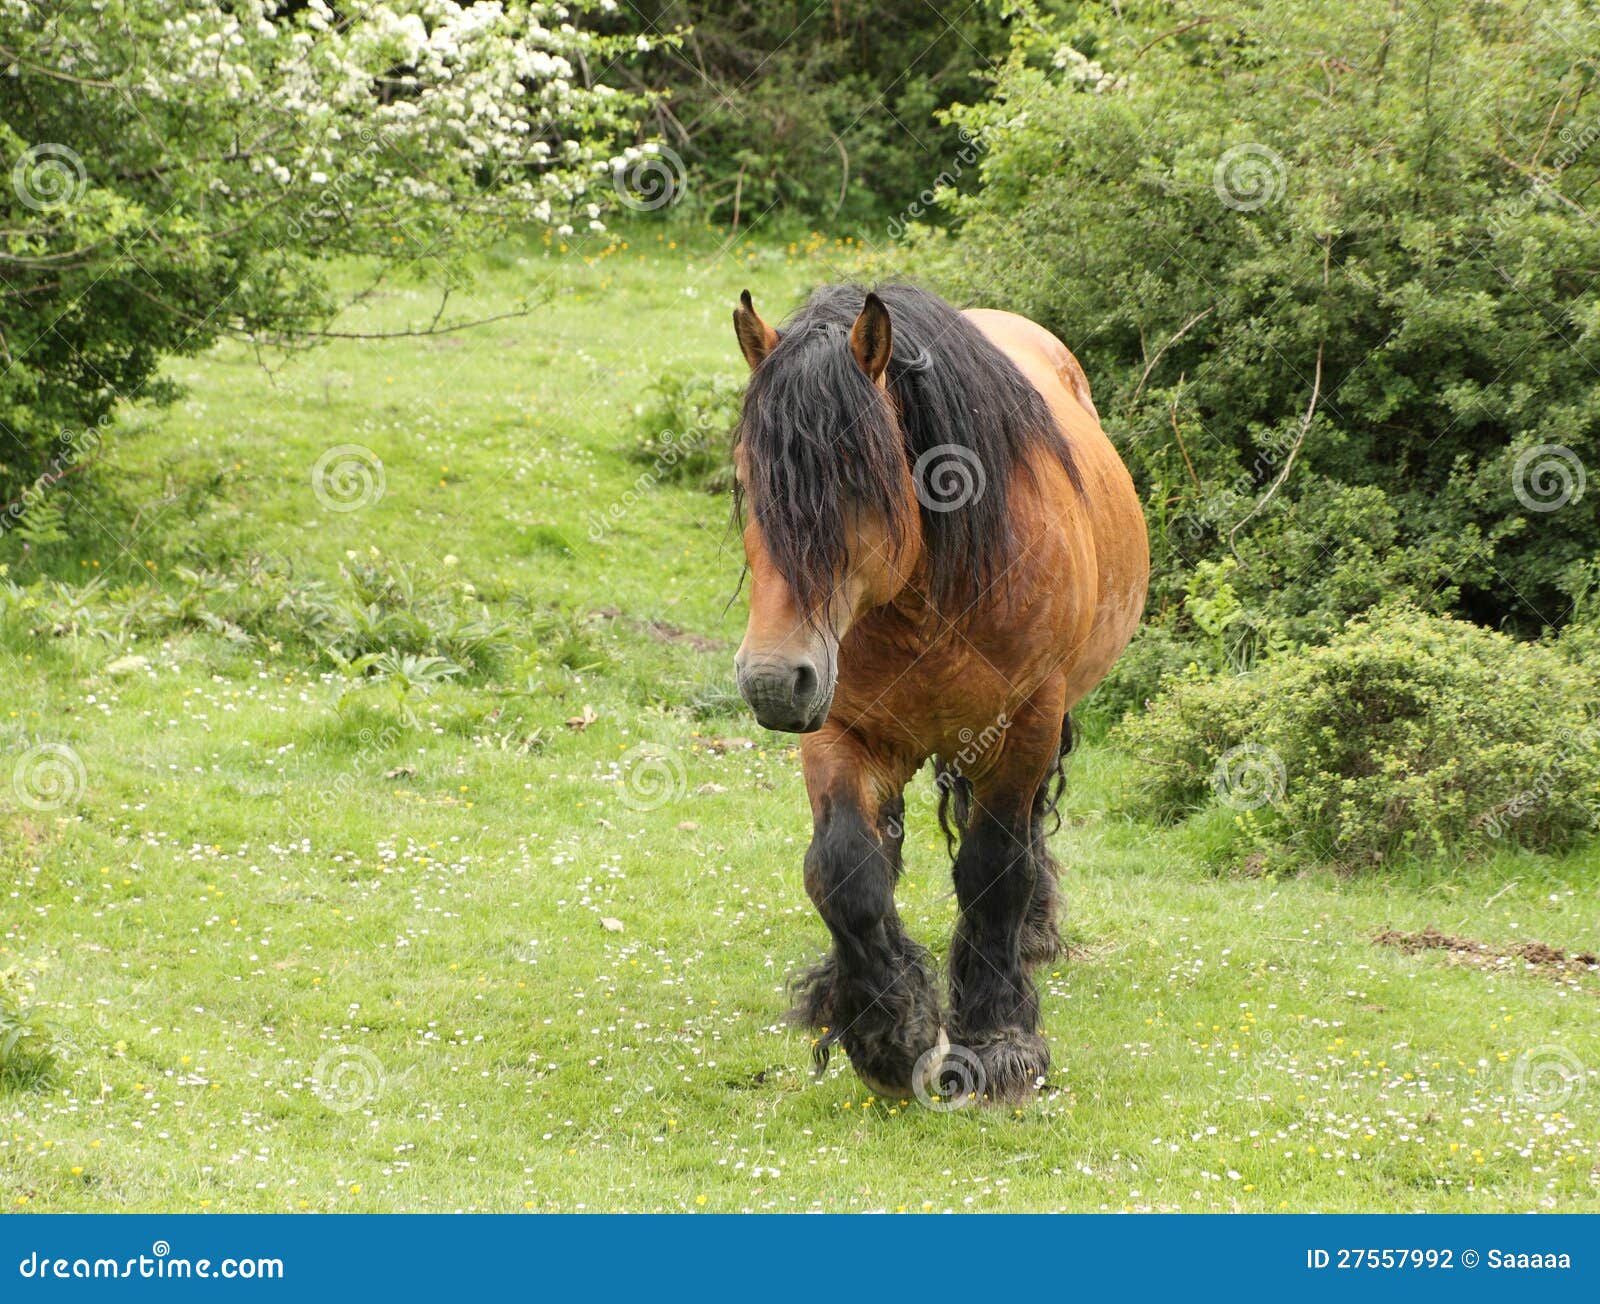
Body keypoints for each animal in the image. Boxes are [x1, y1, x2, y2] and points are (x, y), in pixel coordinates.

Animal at [729, 283, 1148, 1104]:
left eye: (857, 475)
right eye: (743, 479)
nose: (770, 679)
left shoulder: (1025, 723)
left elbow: (994, 868)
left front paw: (999, 1041)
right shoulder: (838, 727)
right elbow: (845, 869)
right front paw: (887, 1034)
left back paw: (1031, 938)